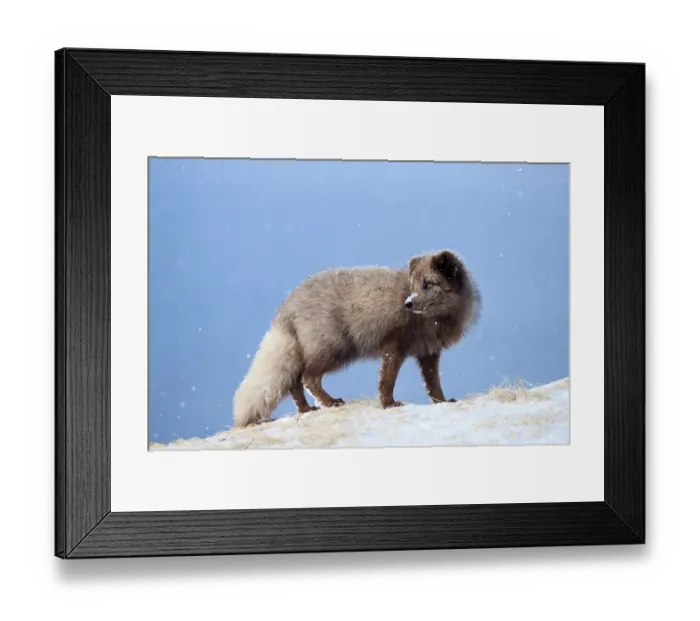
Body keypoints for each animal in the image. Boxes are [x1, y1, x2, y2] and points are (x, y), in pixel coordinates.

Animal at [233, 249, 482, 428]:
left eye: (428, 285)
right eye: (413, 286)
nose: (408, 303)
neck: (436, 320)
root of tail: (287, 304)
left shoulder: (429, 352)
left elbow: (433, 384)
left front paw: (443, 402)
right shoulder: (394, 347)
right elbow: (387, 381)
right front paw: (388, 404)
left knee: (294, 383)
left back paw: (306, 410)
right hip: (334, 349)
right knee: (308, 378)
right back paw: (330, 402)